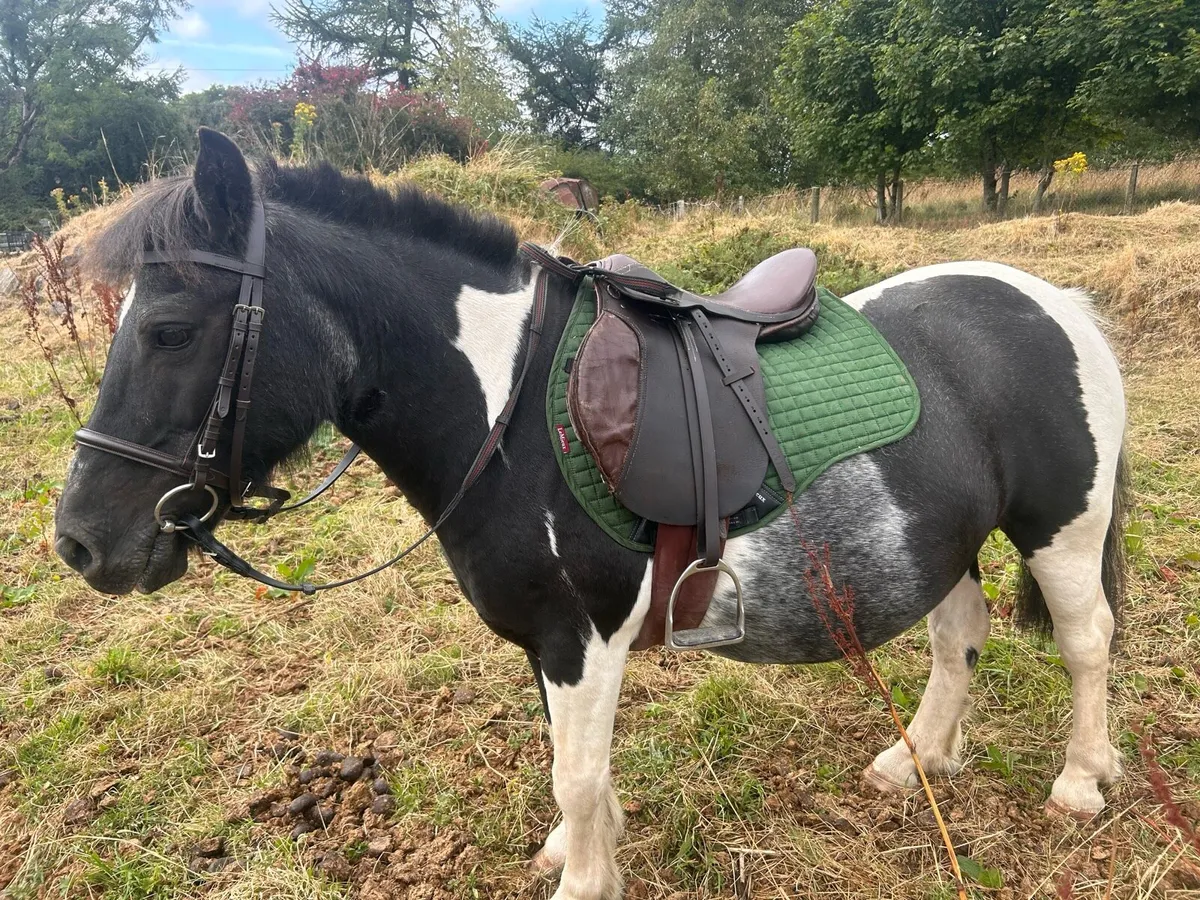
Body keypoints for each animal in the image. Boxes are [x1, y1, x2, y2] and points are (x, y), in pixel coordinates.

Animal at [54, 129, 1128, 900]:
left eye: (169, 331)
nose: (79, 542)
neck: (509, 411)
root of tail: (1056, 301)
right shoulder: (549, 645)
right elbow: (575, 771)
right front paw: (579, 851)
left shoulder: (582, 637)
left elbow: (576, 773)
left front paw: (583, 877)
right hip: (945, 539)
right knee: (959, 635)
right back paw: (918, 760)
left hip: (1061, 532)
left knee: (1086, 641)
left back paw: (1080, 781)